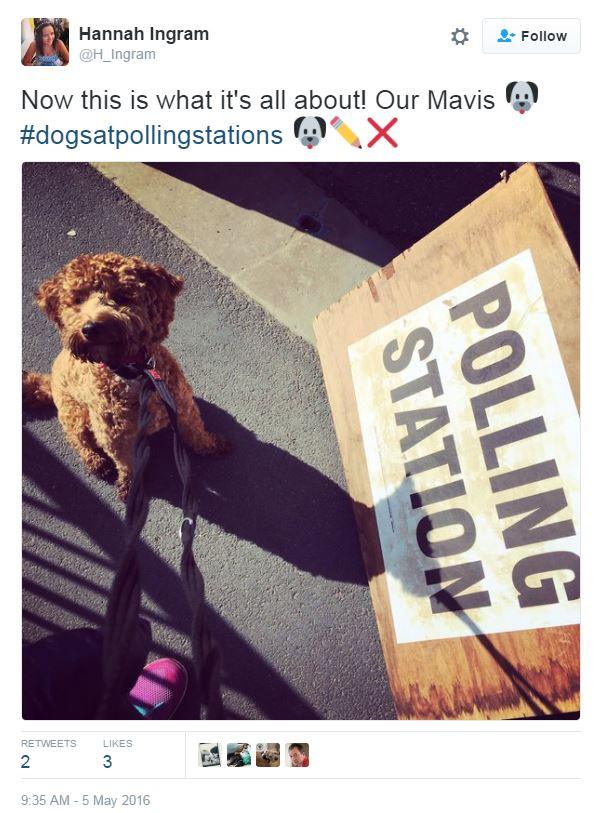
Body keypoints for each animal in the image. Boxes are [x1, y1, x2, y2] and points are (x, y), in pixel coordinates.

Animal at [24, 252, 229, 502]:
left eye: (121, 296)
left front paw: (210, 445)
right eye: (78, 300)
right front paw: (130, 486)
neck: (134, 371)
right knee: (77, 439)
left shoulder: (183, 407)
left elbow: (196, 431)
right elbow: (126, 463)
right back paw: (96, 462)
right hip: (73, 413)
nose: (90, 328)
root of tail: (49, 381)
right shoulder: (115, 435)